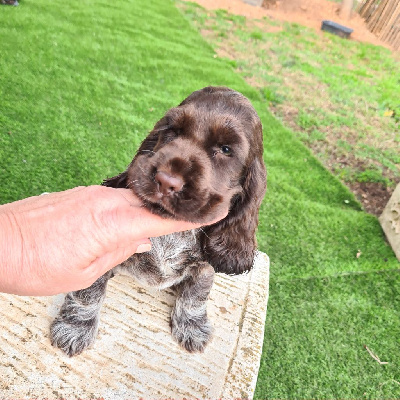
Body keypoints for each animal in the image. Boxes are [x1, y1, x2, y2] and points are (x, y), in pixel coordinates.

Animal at [51, 86, 268, 354]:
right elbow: (88, 293)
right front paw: (75, 328)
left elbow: (196, 294)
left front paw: (192, 327)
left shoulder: (205, 266)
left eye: (226, 149)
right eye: (172, 131)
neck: (172, 234)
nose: (166, 181)